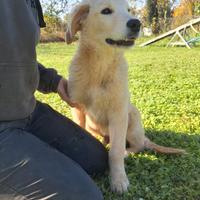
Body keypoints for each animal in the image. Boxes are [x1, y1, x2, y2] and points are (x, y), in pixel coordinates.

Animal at [65, 0, 184, 194]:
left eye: (128, 10)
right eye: (106, 11)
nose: (136, 23)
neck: (101, 65)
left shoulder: (119, 113)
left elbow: (115, 152)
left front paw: (118, 180)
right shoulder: (77, 108)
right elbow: (79, 131)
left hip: (133, 117)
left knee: (137, 145)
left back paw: (127, 151)